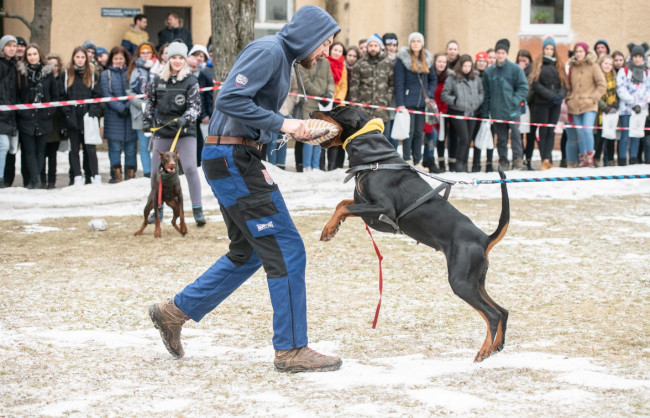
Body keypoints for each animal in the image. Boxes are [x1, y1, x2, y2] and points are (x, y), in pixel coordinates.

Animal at [312, 105, 508, 362]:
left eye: (335, 111)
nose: (312, 113)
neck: (377, 160)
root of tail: (484, 239)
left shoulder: (383, 209)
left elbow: (344, 206)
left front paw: (328, 229)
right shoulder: (366, 206)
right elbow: (342, 203)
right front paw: (332, 227)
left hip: (461, 281)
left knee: (492, 314)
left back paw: (484, 350)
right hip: (476, 281)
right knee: (502, 311)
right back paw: (496, 346)